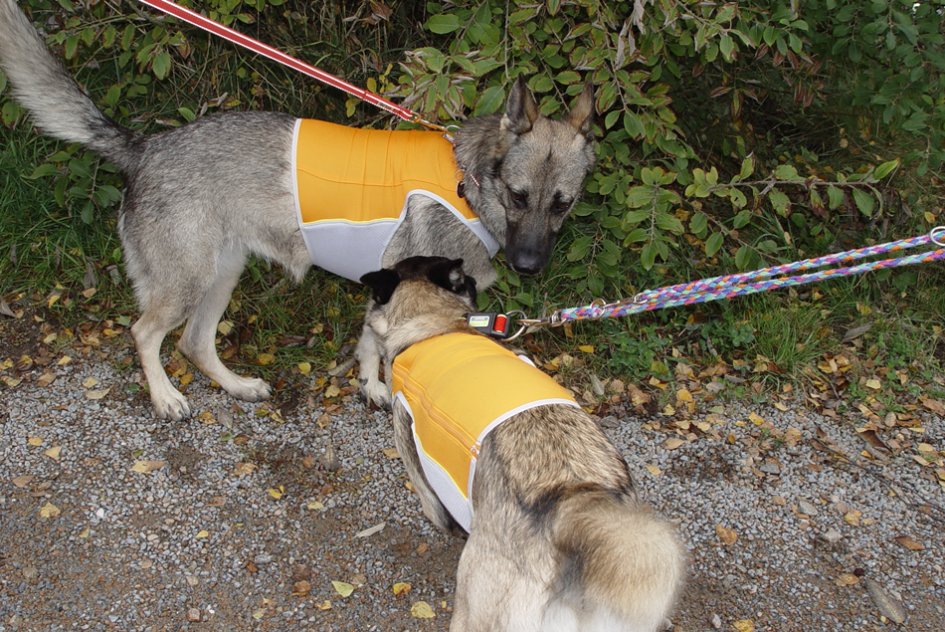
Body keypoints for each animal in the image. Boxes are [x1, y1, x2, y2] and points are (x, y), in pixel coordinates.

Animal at [0, 1, 596, 424]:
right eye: (518, 195)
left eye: (562, 203)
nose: (529, 267)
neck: (468, 183)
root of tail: (145, 147)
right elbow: (378, 346)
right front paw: (379, 385)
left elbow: (367, 344)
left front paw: (370, 386)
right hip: (188, 280)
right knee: (145, 332)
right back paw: (165, 396)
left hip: (222, 275)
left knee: (194, 342)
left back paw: (237, 385)